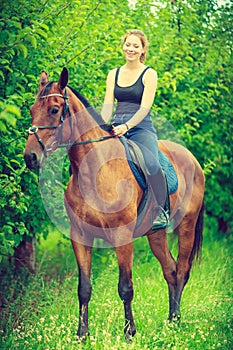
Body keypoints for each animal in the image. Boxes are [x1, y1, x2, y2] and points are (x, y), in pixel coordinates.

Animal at [24, 67, 204, 340]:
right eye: (32, 109)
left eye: (54, 110)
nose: (30, 157)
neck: (95, 168)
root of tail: (192, 159)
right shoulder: (80, 235)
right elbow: (84, 287)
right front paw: (82, 334)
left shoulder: (122, 236)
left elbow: (125, 287)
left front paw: (130, 332)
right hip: (156, 234)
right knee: (170, 270)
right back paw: (170, 321)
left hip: (186, 226)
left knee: (182, 270)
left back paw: (175, 321)